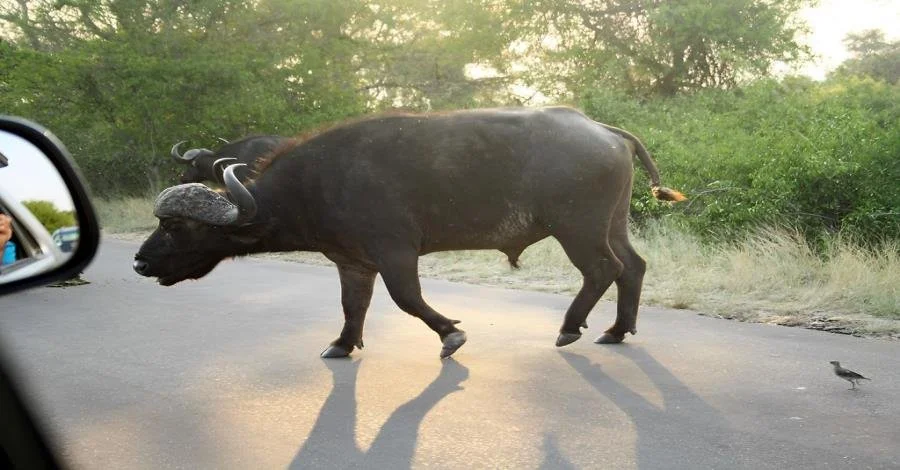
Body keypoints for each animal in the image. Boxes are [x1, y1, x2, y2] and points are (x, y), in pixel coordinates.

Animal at [135, 107, 685, 358]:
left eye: (175, 225)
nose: (139, 262)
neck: (319, 183)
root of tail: (604, 129)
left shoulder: (396, 253)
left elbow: (408, 301)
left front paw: (451, 333)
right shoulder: (353, 263)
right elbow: (352, 306)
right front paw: (342, 344)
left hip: (577, 228)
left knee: (603, 269)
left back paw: (572, 327)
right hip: (611, 223)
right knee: (632, 267)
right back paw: (616, 330)